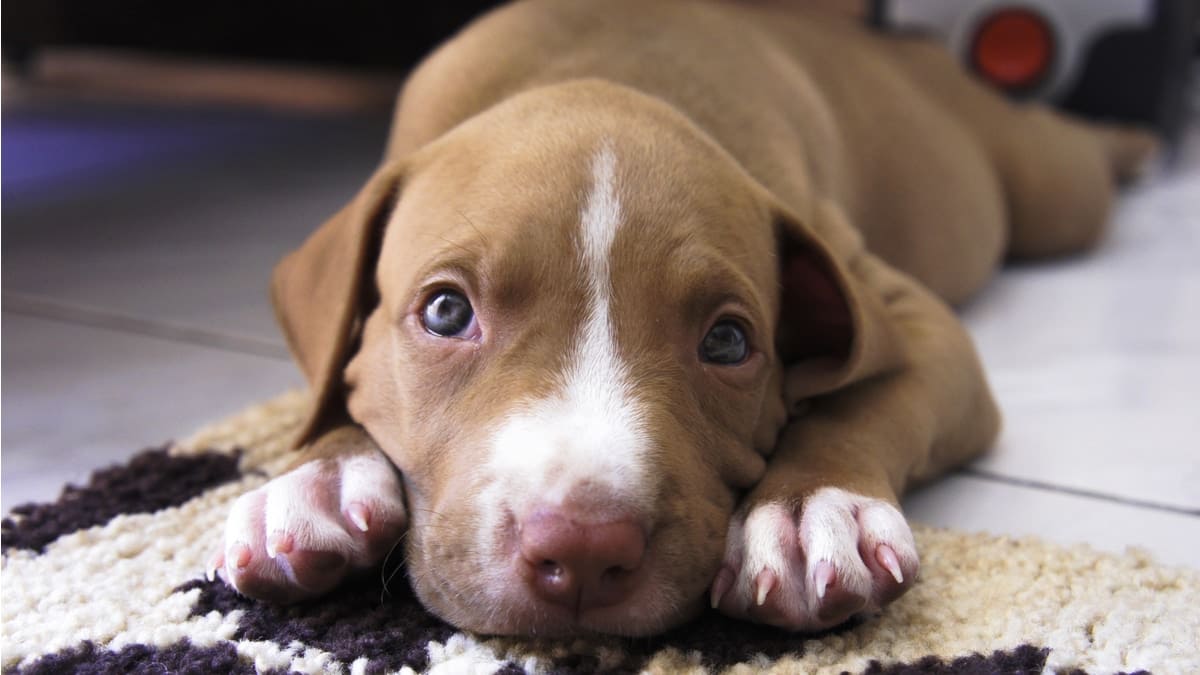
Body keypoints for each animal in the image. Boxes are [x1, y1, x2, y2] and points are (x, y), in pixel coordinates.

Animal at [208, 0, 1152, 634]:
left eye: (728, 340)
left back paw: (1136, 146)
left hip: (1045, 190)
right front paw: (317, 476)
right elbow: (337, 381)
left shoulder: (909, 316)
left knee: (1070, 152)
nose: (583, 550)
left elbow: (863, 397)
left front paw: (811, 511)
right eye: (445, 311)